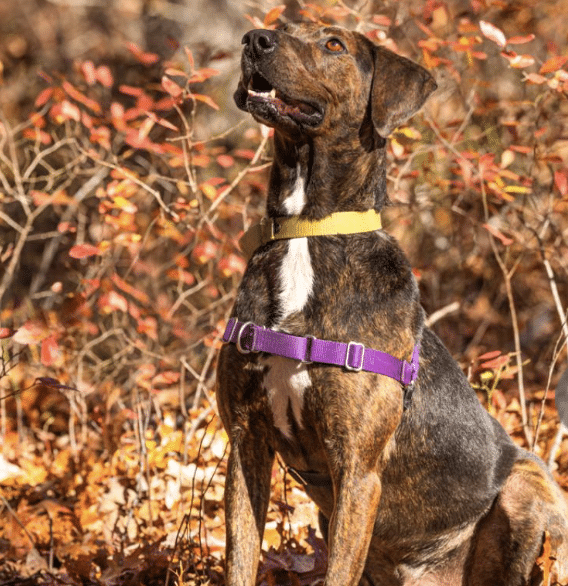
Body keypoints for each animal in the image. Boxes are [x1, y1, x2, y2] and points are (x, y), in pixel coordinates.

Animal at [214, 22, 568, 584]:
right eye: (285, 27)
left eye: (333, 44)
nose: (255, 39)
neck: (311, 232)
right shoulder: (247, 442)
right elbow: (240, 559)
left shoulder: (357, 469)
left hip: (527, 490)